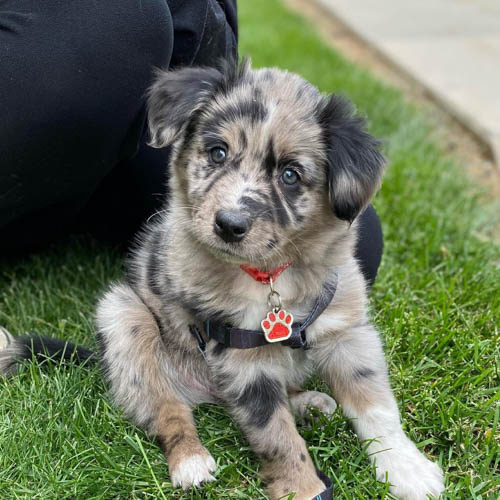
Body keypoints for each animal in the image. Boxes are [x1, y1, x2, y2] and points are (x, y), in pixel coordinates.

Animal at [0, 59, 446, 500]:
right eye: (217, 153)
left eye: (290, 175)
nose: (229, 224)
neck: (272, 276)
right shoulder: (243, 361)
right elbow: (278, 437)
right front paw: (303, 488)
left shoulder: (347, 331)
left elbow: (376, 405)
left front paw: (406, 469)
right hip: (124, 319)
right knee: (168, 409)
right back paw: (190, 461)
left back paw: (307, 402)